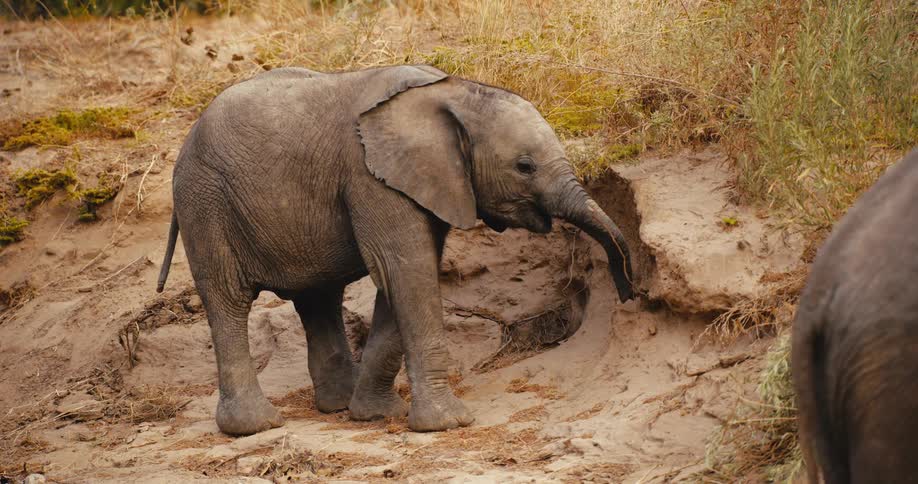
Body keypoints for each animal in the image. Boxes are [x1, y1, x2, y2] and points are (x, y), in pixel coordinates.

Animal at [156, 64, 635, 436]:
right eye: (524, 166)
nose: (629, 289)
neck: (453, 90)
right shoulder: (371, 178)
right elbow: (406, 272)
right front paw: (448, 424)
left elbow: (400, 282)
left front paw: (374, 415)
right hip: (205, 202)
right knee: (229, 300)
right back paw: (256, 426)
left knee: (318, 298)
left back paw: (337, 405)